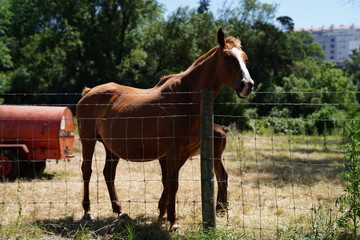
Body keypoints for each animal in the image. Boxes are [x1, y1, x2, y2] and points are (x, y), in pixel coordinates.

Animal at [76, 28, 253, 229]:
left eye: (245, 58)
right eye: (227, 57)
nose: (247, 85)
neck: (185, 97)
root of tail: (89, 92)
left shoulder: (180, 153)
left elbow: (168, 183)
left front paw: (164, 215)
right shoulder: (173, 152)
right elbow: (173, 184)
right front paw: (173, 222)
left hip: (110, 147)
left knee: (108, 174)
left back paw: (120, 212)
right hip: (88, 141)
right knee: (87, 171)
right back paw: (88, 212)